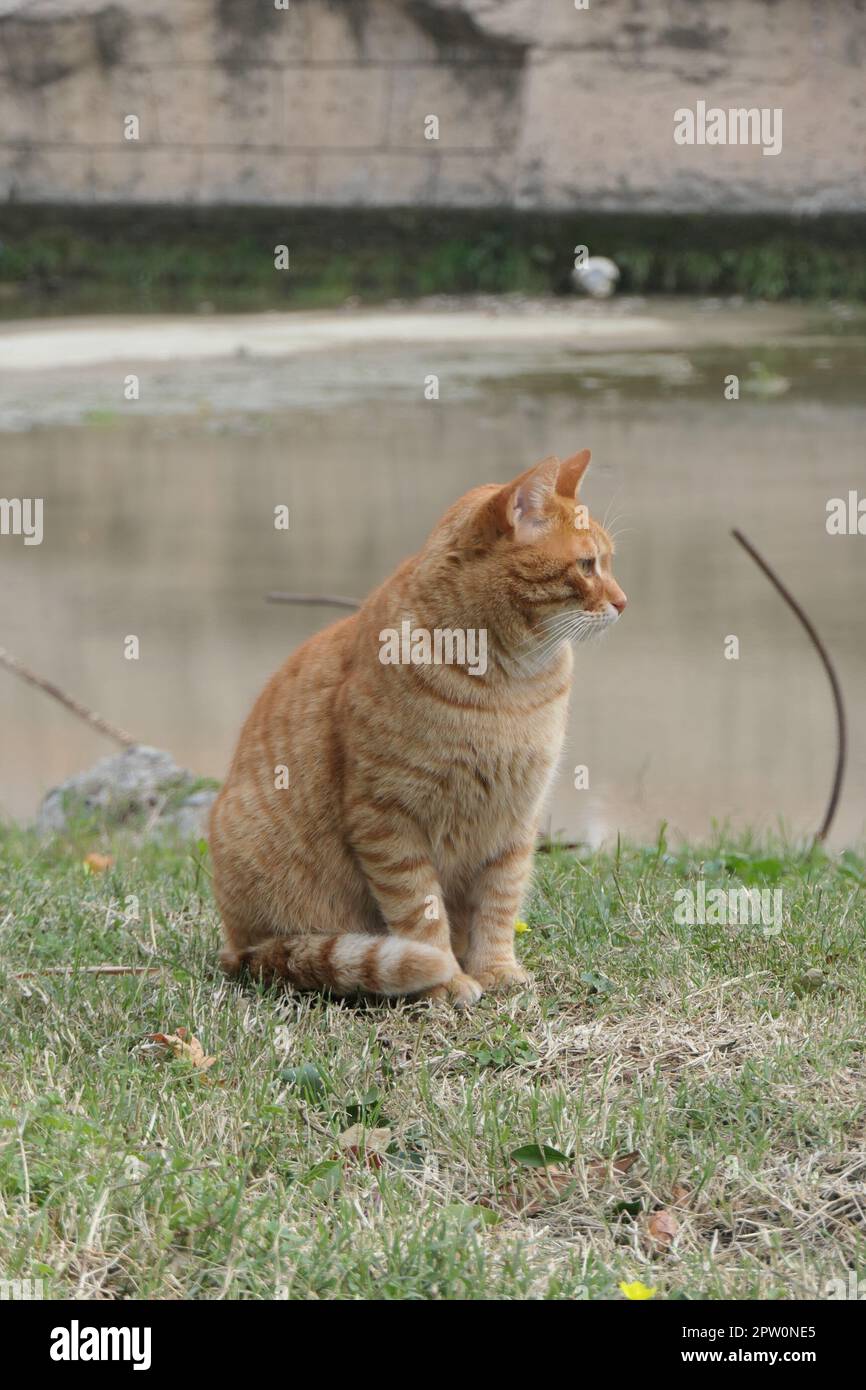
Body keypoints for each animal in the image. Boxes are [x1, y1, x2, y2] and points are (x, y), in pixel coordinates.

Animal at [209, 455, 631, 1011]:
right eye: (587, 566)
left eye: (607, 562)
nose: (624, 602)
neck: (510, 687)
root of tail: (235, 946)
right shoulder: (387, 819)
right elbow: (421, 912)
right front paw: (446, 981)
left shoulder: (515, 821)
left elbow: (499, 904)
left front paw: (496, 970)